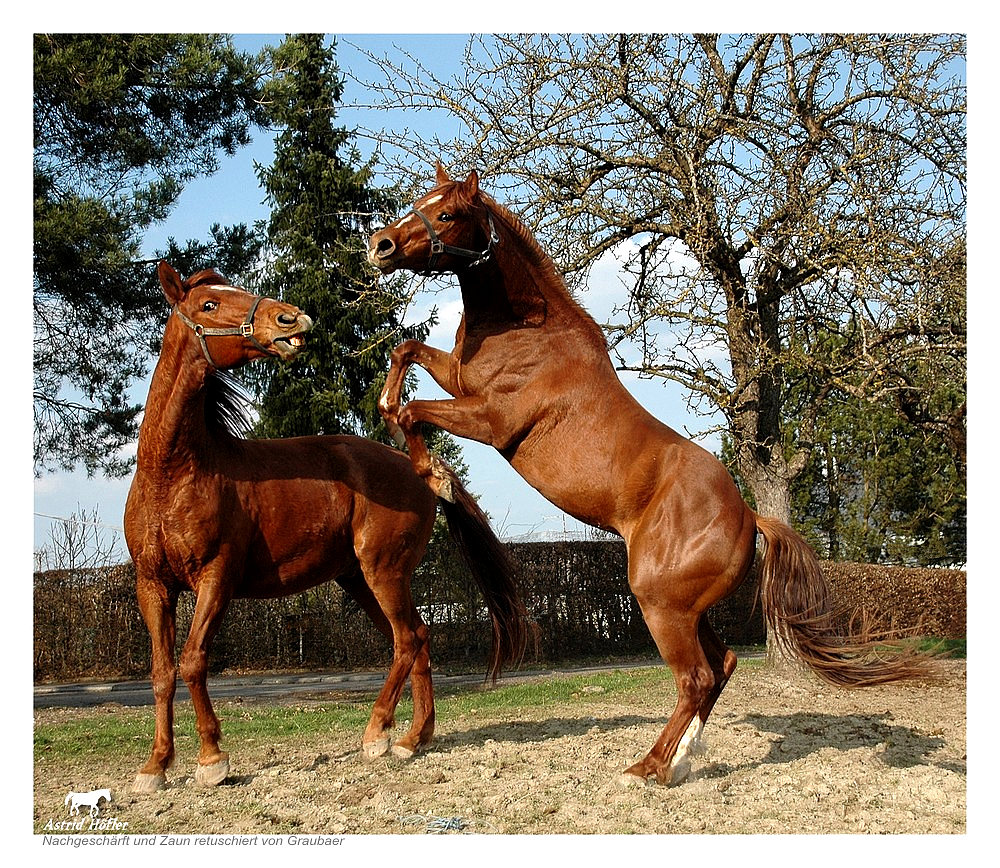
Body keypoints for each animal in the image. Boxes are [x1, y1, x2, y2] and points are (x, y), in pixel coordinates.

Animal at [126, 260, 532, 792]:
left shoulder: (216, 578)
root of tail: (415, 468)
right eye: (209, 303)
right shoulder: (153, 586)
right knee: (417, 639)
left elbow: (193, 661)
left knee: (407, 640)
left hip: (383, 571)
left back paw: (378, 735)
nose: (291, 319)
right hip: (359, 579)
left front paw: (212, 760)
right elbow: (161, 672)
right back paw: (414, 739)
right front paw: (154, 767)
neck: (173, 475)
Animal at [372, 163, 932, 788]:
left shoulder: (491, 420)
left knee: (696, 677)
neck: (526, 330)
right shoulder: (457, 379)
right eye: (421, 201)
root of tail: (749, 515)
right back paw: (682, 757)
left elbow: (411, 409)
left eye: (446, 214)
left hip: (660, 603)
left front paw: (432, 470)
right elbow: (405, 352)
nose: (380, 246)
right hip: (688, 609)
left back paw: (648, 768)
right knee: (722, 664)